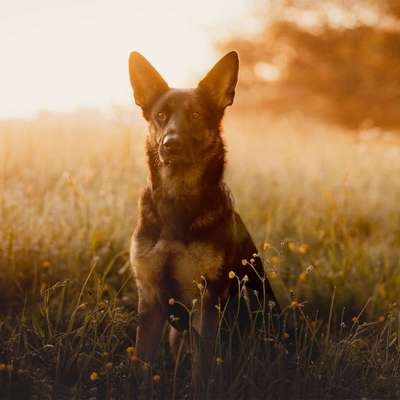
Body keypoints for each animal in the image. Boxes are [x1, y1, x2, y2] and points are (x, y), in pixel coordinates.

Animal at [130, 50, 280, 394]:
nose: (170, 144)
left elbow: (203, 370)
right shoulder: (151, 301)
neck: (177, 203)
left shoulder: (206, 303)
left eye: (197, 115)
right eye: (161, 116)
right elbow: (143, 367)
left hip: (254, 311)